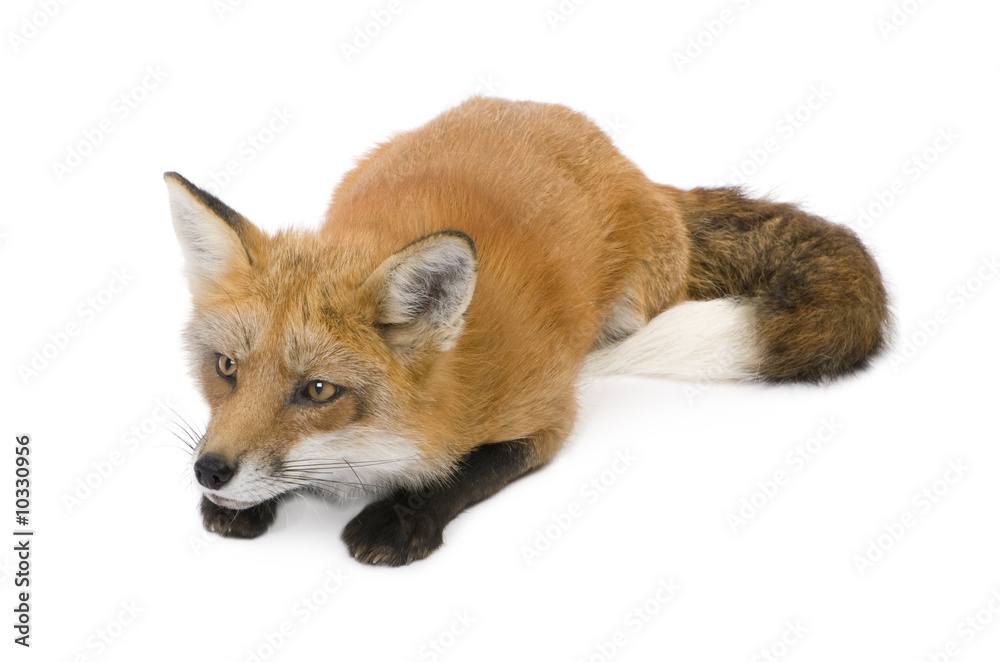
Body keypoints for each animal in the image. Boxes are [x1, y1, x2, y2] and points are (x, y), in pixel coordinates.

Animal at [165, 96, 889, 566]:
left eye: (317, 391)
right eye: (226, 368)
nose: (210, 472)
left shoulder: (543, 413)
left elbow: (468, 469)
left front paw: (400, 517)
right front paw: (243, 502)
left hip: (635, 303)